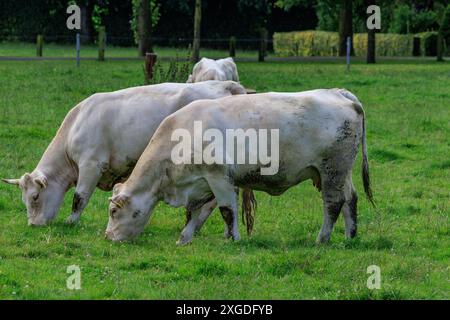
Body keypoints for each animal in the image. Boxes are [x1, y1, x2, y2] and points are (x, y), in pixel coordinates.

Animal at [2, 80, 246, 225]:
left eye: (35, 197)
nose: (33, 225)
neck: (75, 126)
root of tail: (224, 84)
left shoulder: (91, 165)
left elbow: (79, 197)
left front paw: (71, 222)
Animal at [104, 89, 372, 244]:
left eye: (114, 211)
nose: (107, 236)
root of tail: (340, 94)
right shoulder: (201, 183)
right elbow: (194, 212)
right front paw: (185, 238)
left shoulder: (219, 178)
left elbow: (227, 211)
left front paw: (233, 238)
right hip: (341, 173)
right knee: (351, 199)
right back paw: (350, 236)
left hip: (332, 170)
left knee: (333, 204)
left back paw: (322, 239)